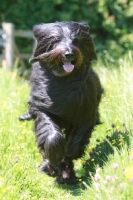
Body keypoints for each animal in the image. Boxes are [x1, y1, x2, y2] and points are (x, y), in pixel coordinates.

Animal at [19, 21, 103, 184]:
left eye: (75, 40)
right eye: (56, 40)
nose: (69, 54)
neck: (64, 80)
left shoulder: (86, 111)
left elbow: (77, 139)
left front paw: (70, 153)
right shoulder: (42, 108)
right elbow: (50, 134)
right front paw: (52, 158)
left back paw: (66, 174)